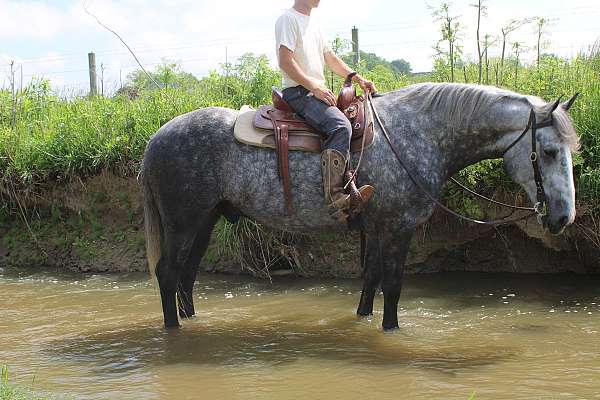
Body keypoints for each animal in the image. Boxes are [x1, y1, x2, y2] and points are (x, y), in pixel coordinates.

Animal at [138, 83, 580, 330]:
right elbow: (394, 286)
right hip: (183, 223)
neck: (417, 134)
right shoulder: (398, 226)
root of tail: (156, 139)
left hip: (205, 221)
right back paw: (173, 331)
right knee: (168, 274)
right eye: (549, 151)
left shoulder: (377, 226)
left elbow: (370, 280)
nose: (564, 217)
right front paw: (391, 332)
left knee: (186, 277)